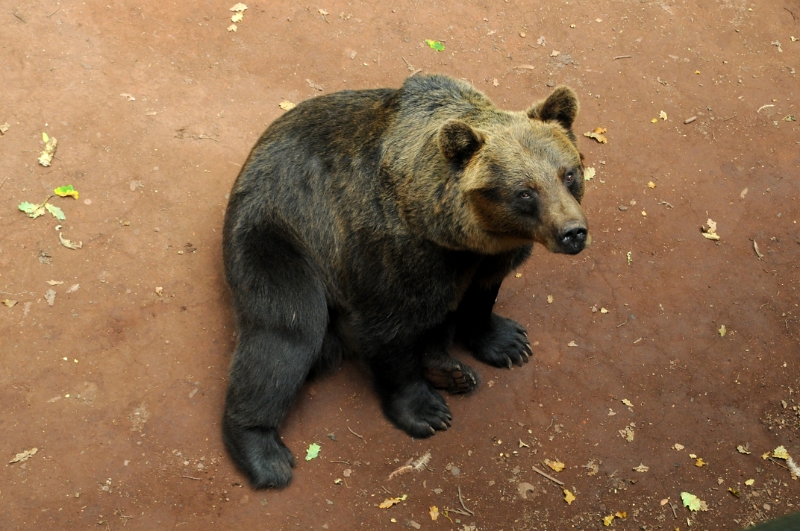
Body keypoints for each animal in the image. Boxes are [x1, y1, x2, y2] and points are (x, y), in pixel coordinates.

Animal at [222, 72, 592, 488]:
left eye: (569, 173)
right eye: (525, 192)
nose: (572, 232)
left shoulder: (486, 258)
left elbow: (481, 295)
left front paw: (509, 342)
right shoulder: (390, 250)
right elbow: (388, 328)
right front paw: (425, 410)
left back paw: (450, 370)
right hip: (277, 236)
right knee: (287, 332)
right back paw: (263, 452)